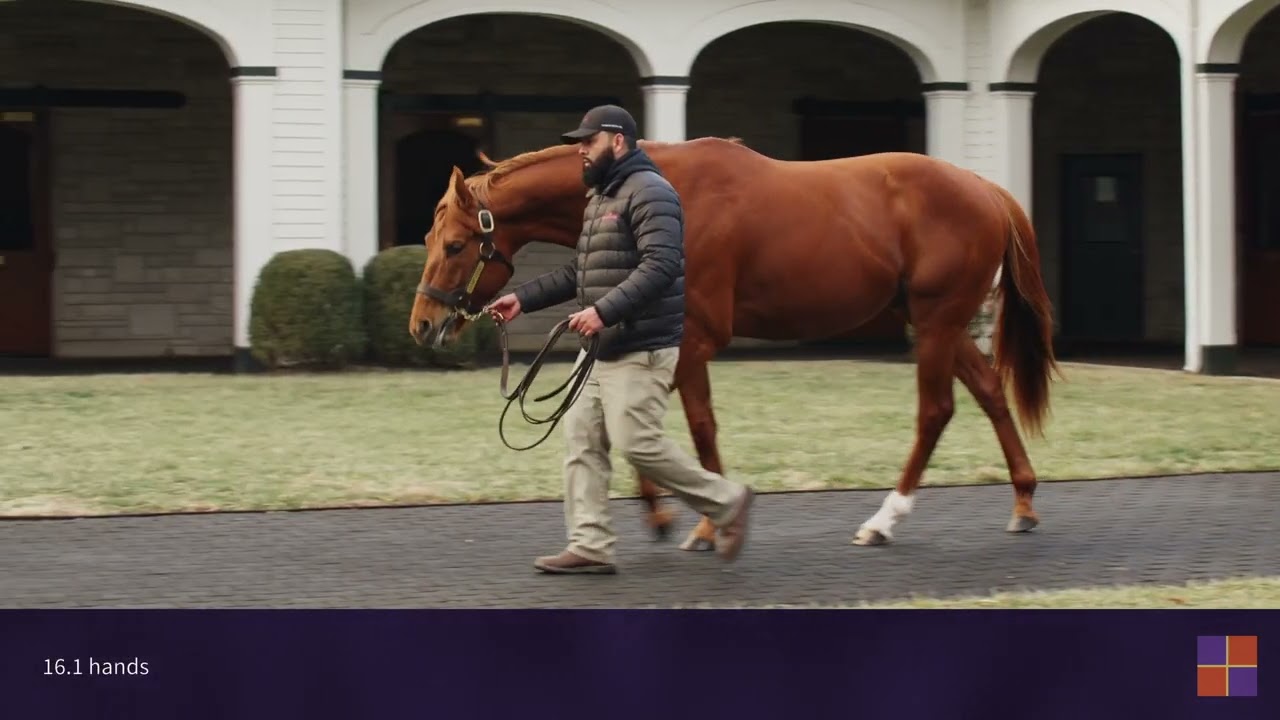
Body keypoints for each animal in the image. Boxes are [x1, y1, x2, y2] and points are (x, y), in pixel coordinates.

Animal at [408, 136, 1059, 551]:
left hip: (937, 320)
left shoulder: (695, 339)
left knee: (936, 410)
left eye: (457, 244)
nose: (421, 324)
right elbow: (635, 427)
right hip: (937, 323)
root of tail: (985, 188)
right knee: (989, 392)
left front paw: (704, 523)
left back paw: (885, 520)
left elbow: (694, 428)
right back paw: (1024, 503)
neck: (667, 191)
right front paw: (661, 514)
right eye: (431, 237)